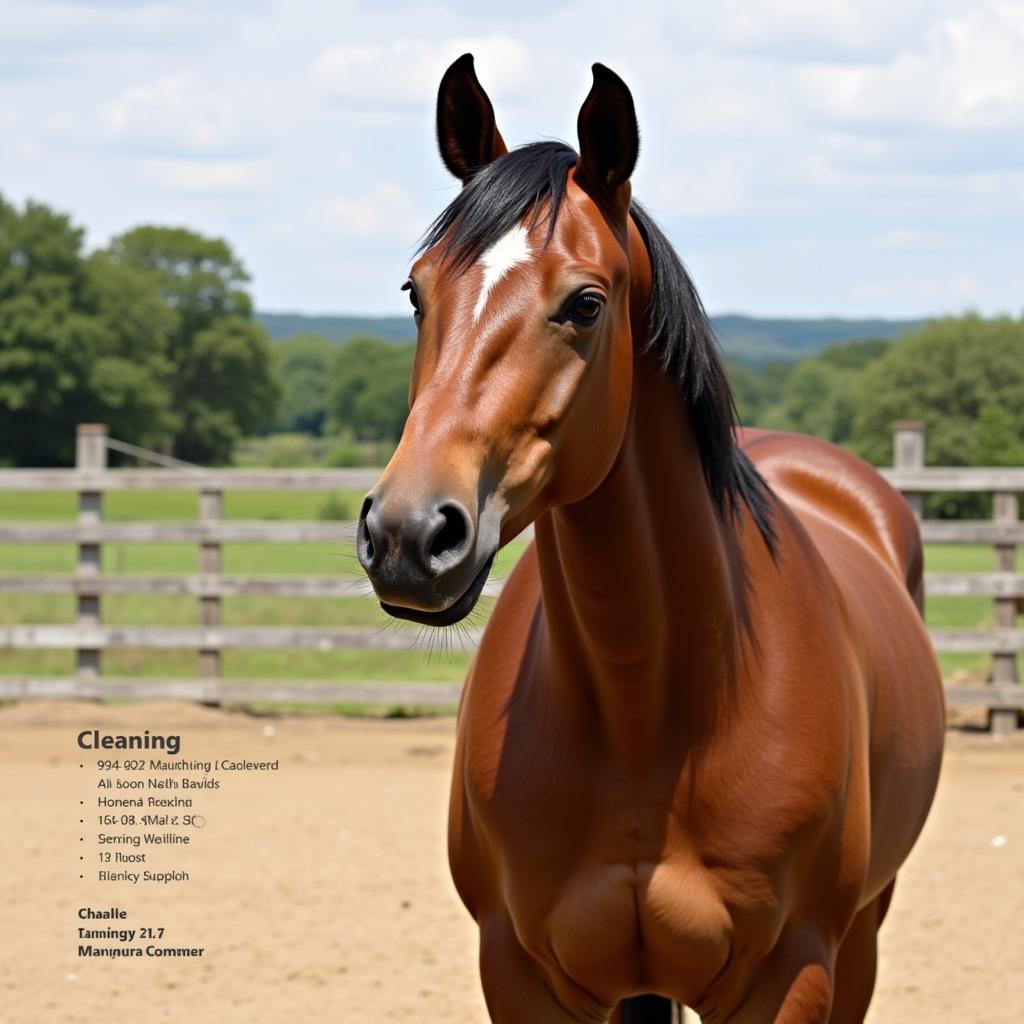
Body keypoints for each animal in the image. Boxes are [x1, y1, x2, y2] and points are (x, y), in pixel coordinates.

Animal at [358, 56, 942, 1024]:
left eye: (586, 303)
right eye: (416, 293)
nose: (409, 532)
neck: (648, 716)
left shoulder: (791, 976)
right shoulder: (521, 974)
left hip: (862, 935)